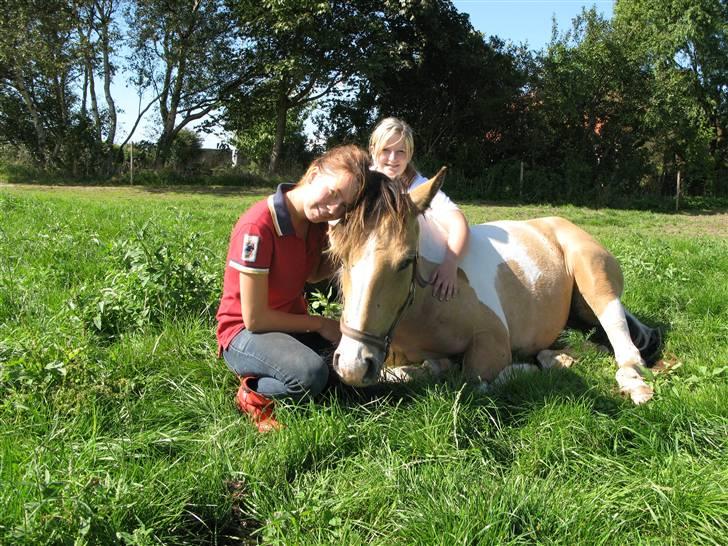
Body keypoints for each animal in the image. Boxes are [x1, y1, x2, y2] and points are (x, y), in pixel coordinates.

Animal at [328, 168, 664, 402]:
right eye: (341, 259)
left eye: (406, 260)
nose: (353, 366)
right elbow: (408, 372)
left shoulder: (493, 341)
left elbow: (473, 380)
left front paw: (523, 370)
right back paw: (558, 358)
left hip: (594, 279)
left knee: (622, 341)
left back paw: (633, 384)